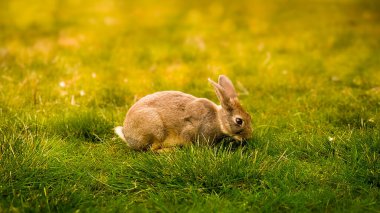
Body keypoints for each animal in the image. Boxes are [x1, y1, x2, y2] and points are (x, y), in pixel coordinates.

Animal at [116, 75, 252, 151]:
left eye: (249, 116)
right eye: (239, 121)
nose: (248, 137)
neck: (218, 120)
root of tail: (127, 136)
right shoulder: (191, 130)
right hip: (155, 128)